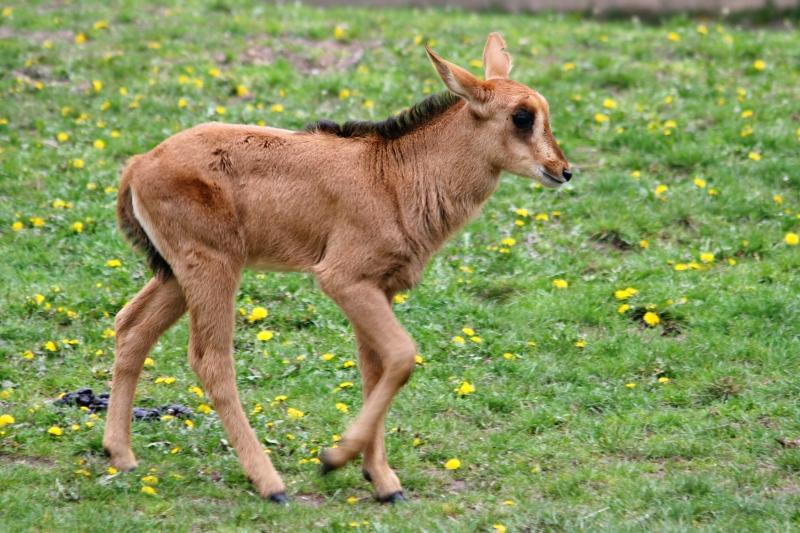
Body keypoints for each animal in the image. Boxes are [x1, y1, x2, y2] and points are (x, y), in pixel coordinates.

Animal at [103, 33, 572, 502]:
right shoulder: (344, 280)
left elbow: (376, 369)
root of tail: (139, 165)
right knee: (211, 359)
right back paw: (270, 484)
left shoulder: (379, 289)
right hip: (214, 267)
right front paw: (333, 459)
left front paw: (382, 480)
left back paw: (121, 456)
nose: (563, 171)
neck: (393, 175)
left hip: (177, 275)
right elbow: (402, 356)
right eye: (522, 116)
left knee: (132, 327)